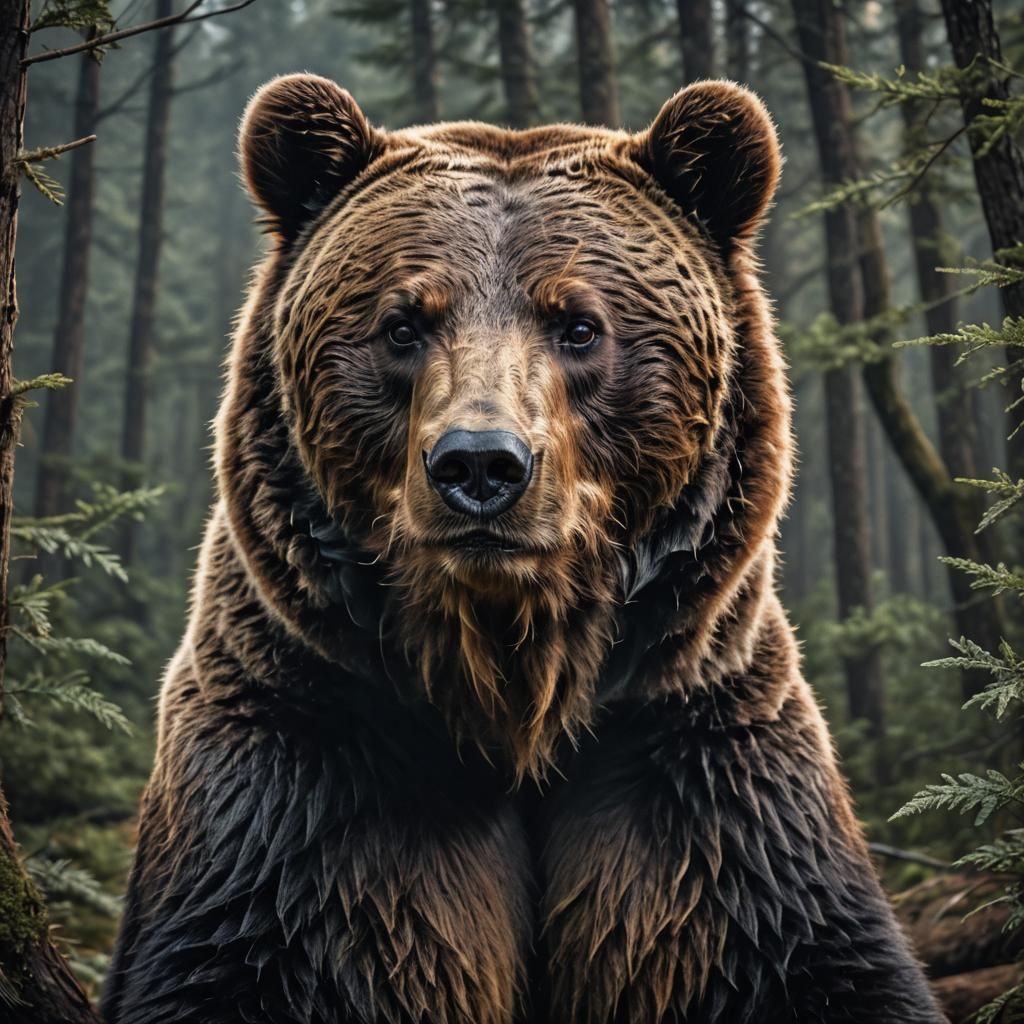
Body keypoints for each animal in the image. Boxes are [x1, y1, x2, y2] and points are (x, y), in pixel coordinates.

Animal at [101, 74, 946, 1024]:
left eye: (578, 324)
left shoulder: (698, 770)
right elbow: (257, 947)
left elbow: (801, 950)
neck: (513, 694)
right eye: (403, 323)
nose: (480, 465)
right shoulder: (305, 767)